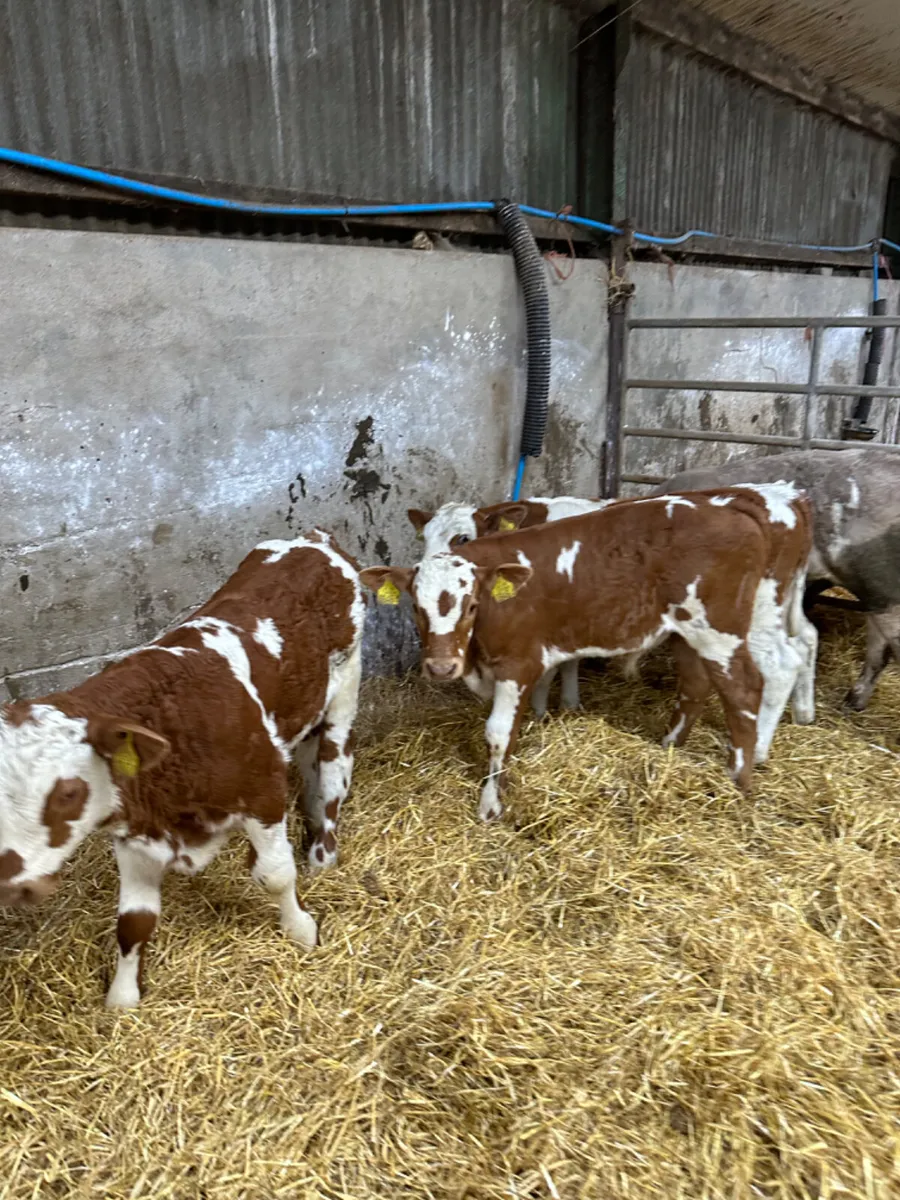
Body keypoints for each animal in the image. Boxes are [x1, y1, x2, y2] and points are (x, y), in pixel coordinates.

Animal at [0, 530, 363, 1008]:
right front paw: (122, 998)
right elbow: (133, 922)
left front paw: (301, 930)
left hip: (344, 689)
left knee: (334, 771)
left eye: (69, 792)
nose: (12, 883)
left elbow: (276, 874)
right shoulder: (135, 834)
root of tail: (313, 539)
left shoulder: (263, 792)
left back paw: (323, 853)